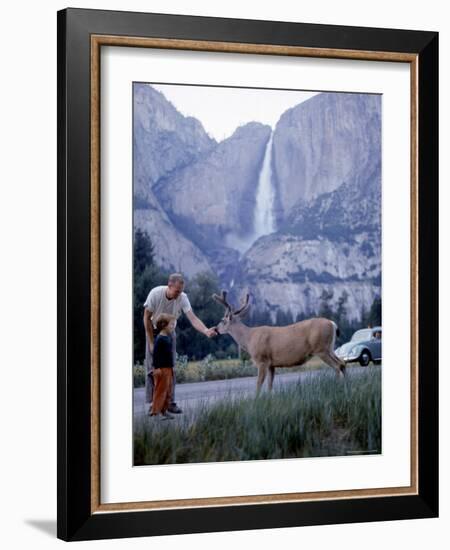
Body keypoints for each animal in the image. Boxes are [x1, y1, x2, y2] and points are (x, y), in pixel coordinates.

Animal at [213, 292, 346, 394]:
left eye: (222, 320)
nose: (215, 329)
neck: (249, 338)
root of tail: (333, 324)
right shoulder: (271, 364)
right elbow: (270, 385)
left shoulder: (262, 360)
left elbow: (258, 383)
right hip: (329, 347)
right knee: (342, 363)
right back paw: (346, 386)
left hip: (321, 348)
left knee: (337, 366)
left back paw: (338, 388)